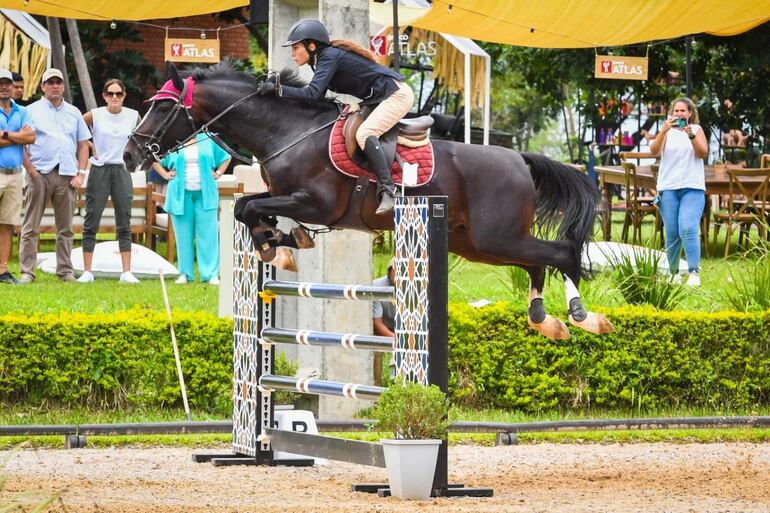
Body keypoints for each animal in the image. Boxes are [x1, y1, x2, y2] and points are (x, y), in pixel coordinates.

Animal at [123, 62, 608, 338]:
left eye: (162, 108)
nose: (129, 155)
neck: (287, 130)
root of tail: (519, 159)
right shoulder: (284, 195)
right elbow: (247, 207)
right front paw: (279, 243)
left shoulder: (314, 203)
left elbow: (252, 208)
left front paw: (277, 244)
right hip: (477, 244)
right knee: (536, 262)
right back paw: (545, 319)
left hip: (496, 237)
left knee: (560, 254)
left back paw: (582, 316)